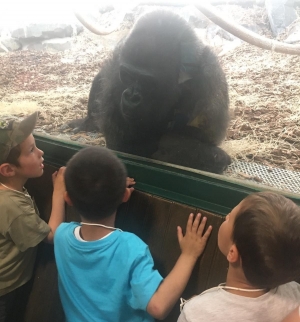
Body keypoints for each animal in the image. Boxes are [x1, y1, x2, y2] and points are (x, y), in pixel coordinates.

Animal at [70, 10, 230, 174]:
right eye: (128, 76)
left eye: (147, 82)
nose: (131, 96)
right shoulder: (119, 58)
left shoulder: (210, 77)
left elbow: (205, 137)